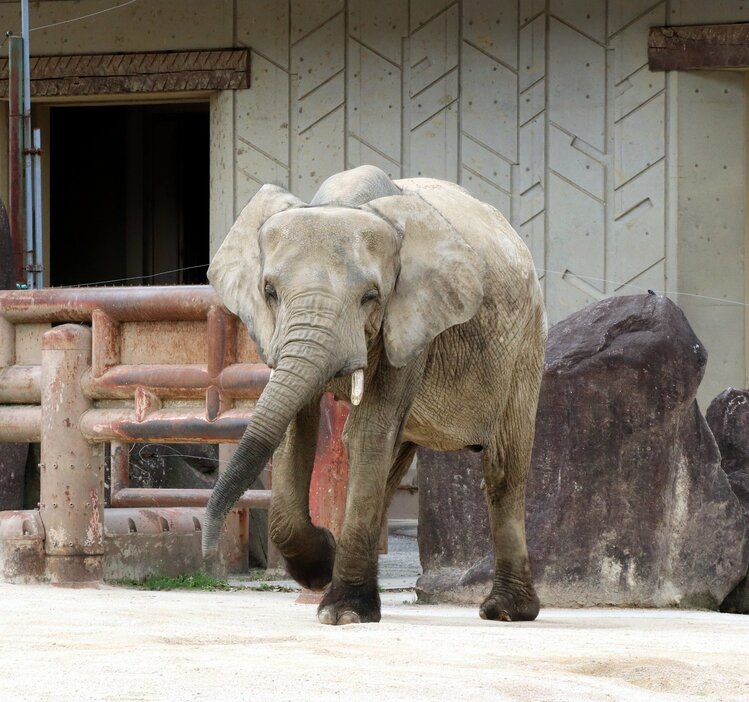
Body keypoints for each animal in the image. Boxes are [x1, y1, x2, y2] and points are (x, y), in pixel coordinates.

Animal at [202, 166, 548, 628]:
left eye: (370, 297)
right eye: (269, 291)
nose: (207, 552)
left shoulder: (412, 319)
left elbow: (369, 430)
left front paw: (343, 611)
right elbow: (296, 429)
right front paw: (321, 567)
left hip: (526, 343)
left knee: (503, 467)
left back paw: (506, 612)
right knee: (391, 460)